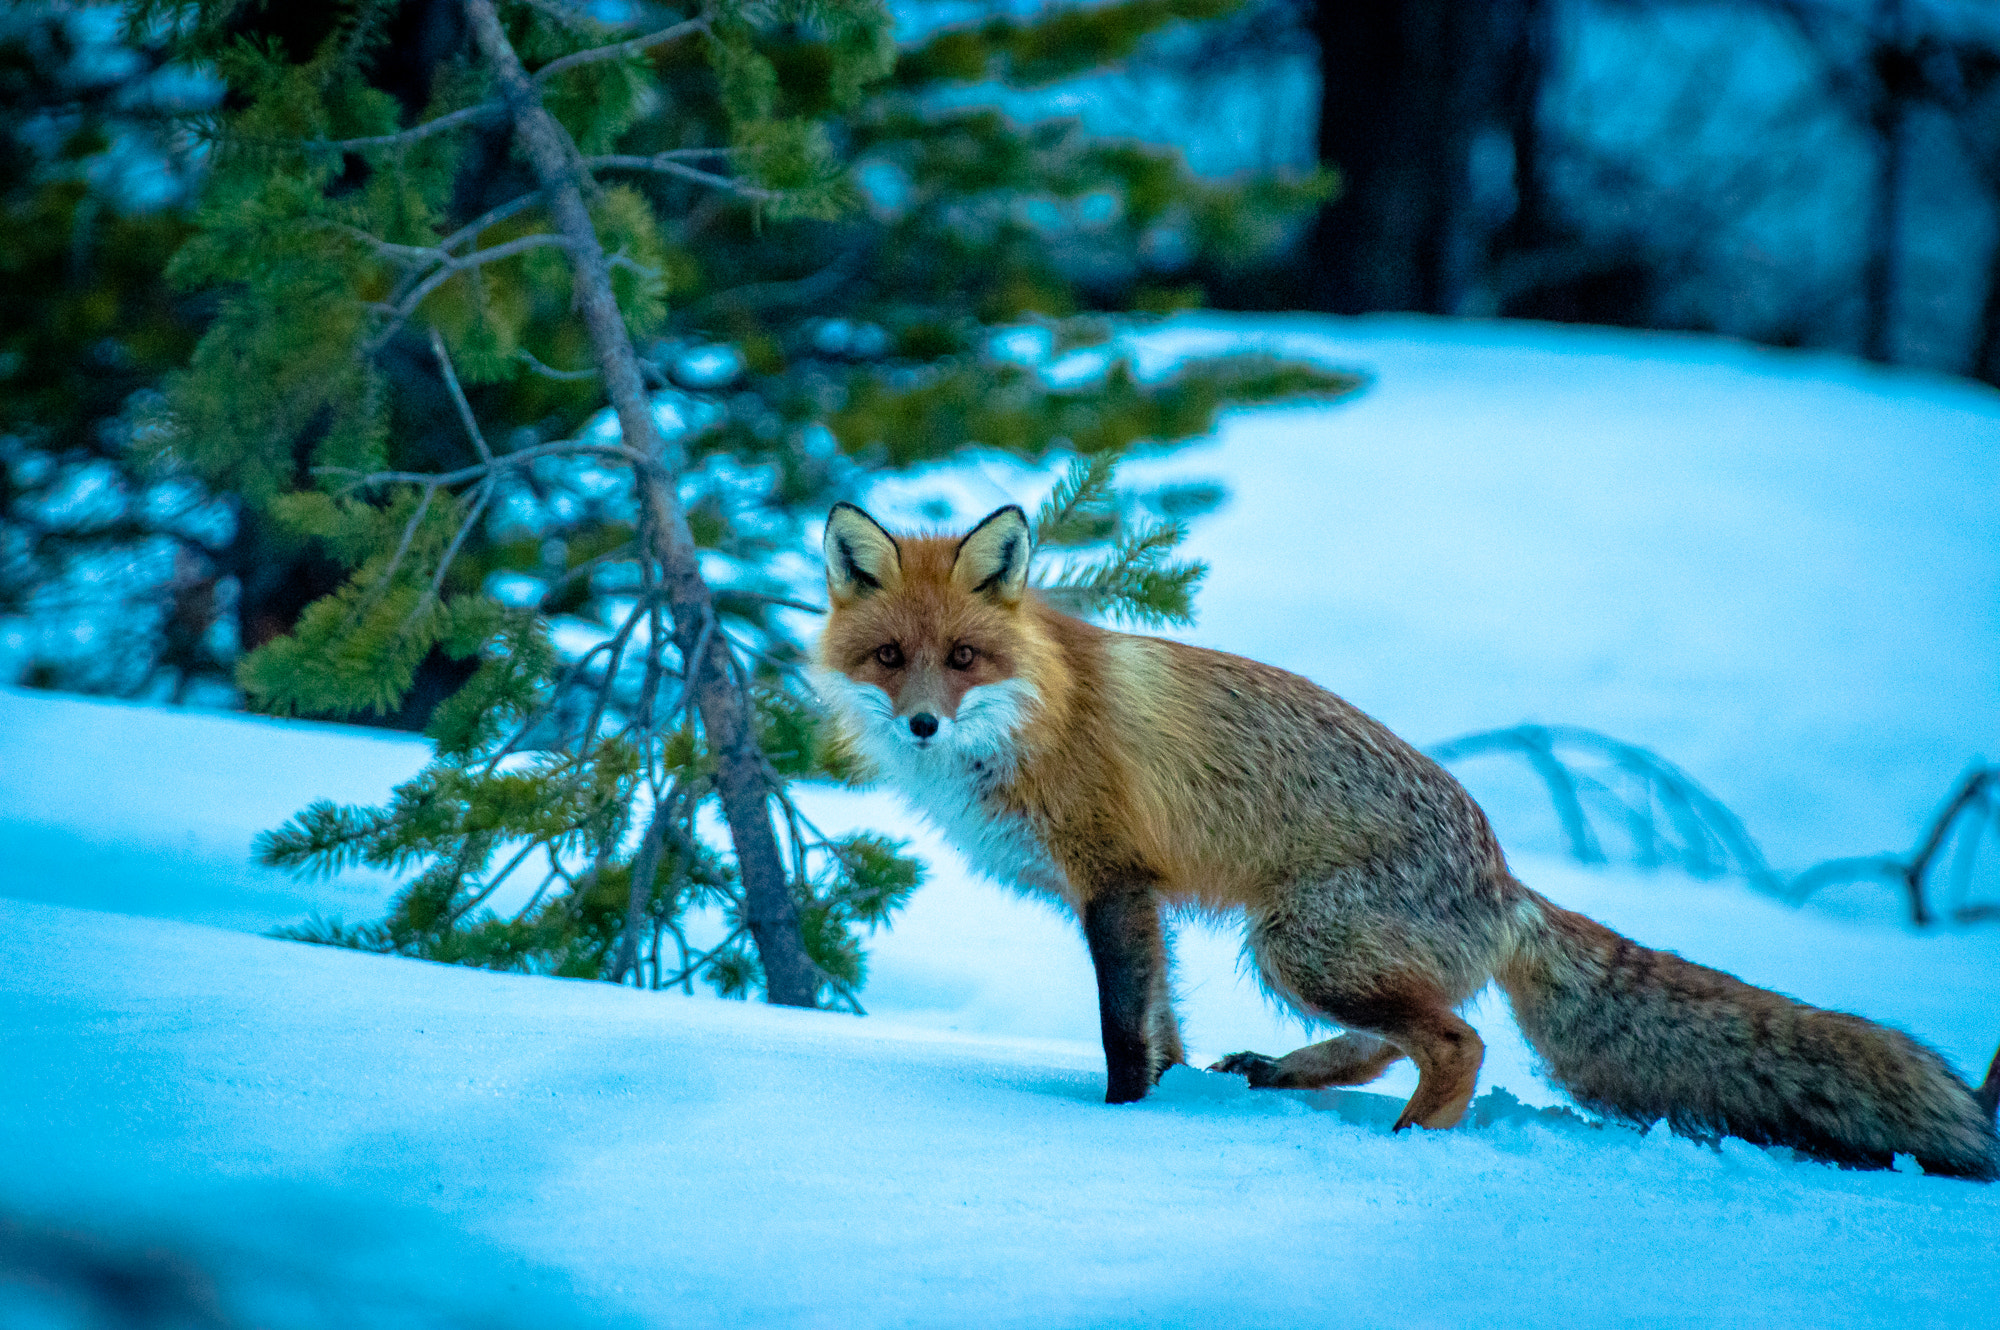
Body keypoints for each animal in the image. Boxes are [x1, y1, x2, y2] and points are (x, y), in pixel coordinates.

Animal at [812, 504, 2000, 1176]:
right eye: (891, 658)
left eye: (964, 658)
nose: (921, 725)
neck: (1037, 713)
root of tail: (1506, 876)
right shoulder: (1135, 899)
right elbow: (1162, 1028)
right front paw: (1173, 1107)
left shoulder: (1114, 882)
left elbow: (1122, 1036)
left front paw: (1121, 1128)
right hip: (1304, 949)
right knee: (1404, 1034)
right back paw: (1289, 1077)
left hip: (1295, 944)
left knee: (1456, 1039)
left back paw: (1414, 1147)